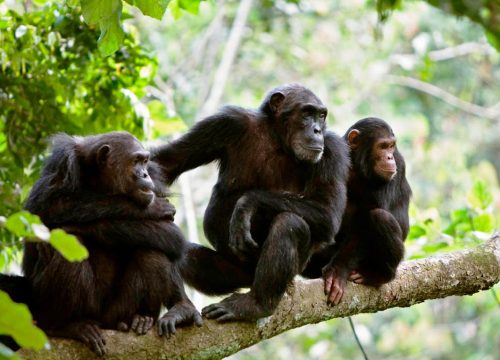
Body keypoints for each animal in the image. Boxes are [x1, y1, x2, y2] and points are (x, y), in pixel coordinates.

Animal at [19, 131, 203, 354]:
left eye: (145, 161)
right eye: (135, 161)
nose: (144, 175)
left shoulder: (155, 177)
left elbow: (170, 234)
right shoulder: (62, 163)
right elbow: (43, 210)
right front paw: (152, 208)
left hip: (115, 313)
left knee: (152, 250)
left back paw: (147, 317)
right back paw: (65, 326)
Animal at [154, 83, 350, 320]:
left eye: (321, 116)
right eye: (307, 113)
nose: (317, 130)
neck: (278, 139)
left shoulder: (333, 150)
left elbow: (327, 212)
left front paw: (246, 204)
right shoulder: (226, 123)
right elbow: (167, 163)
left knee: (290, 224)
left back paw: (255, 304)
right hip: (233, 273)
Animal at [302, 117, 412, 304]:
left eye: (391, 146)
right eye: (382, 146)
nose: (389, 157)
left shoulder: (398, 163)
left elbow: (366, 219)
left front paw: (337, 271)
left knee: (380, 217)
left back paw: (379, 275)